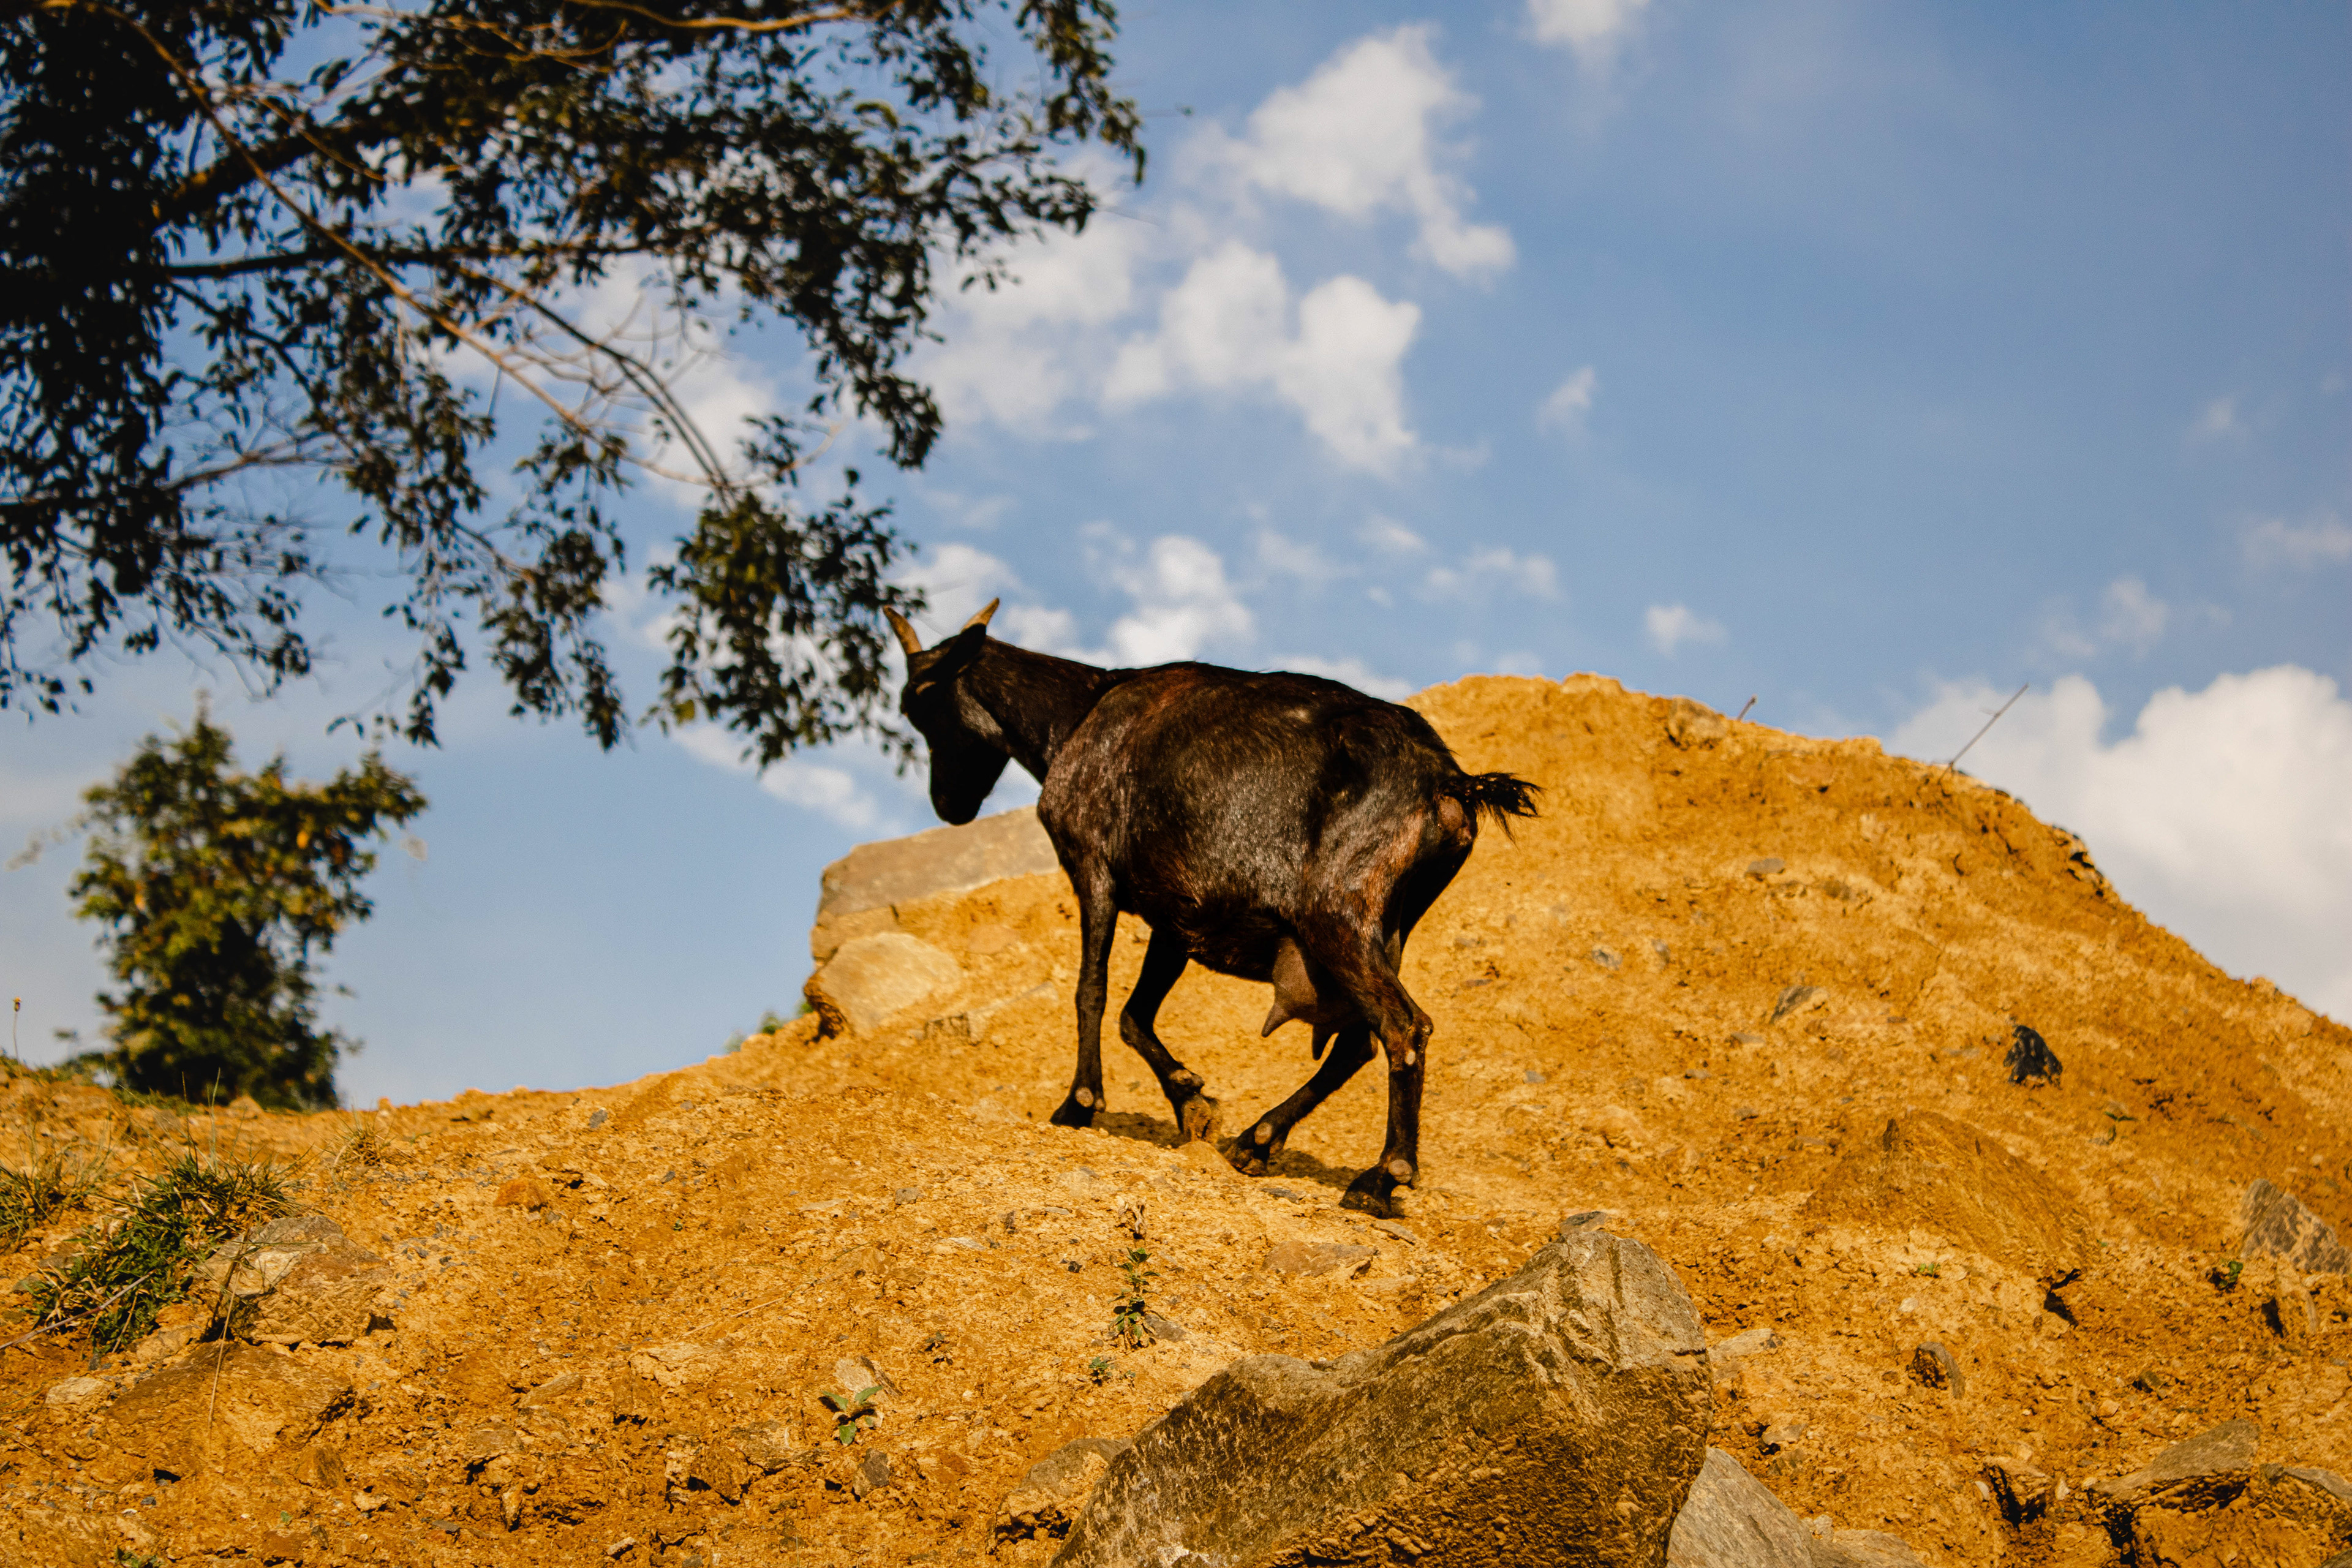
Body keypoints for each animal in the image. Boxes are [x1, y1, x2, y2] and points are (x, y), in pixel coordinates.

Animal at [886, 601, 1538, 1214]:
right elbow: (1135, 1015)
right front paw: (1192, 1101)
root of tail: (1449, 781)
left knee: (1403, 1028)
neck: (1078, 712)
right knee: (1359, 1042)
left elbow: (1091, 989)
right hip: (1390, 924)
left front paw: (1080, 1103)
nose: (948, 805)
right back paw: (1258, 1139)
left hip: (1336, 916)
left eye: (921, 703)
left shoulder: (1091, 865)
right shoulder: (1174, 915)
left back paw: (1381, 1177)